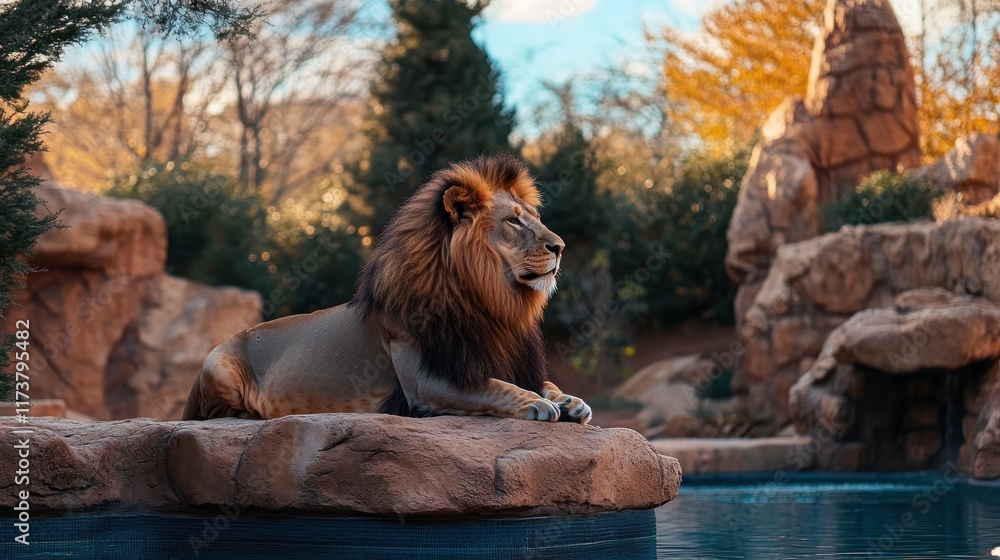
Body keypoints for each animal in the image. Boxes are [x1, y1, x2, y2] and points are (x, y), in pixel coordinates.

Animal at [182, 154, 592, 424]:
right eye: (513, 222)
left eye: (536, 218)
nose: (560, 247)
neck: (492, 303)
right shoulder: (425, 381)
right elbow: (494, 387)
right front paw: (537, 403)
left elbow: (542, 382)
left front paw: (569, 400)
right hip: (218, 365)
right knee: (212, 415)